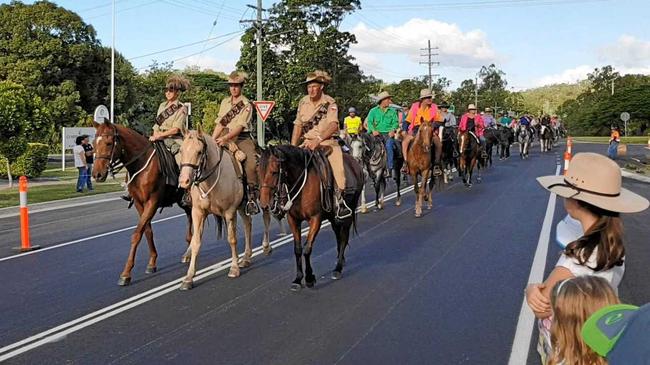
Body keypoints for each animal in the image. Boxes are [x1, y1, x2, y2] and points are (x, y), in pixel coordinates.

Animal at [92, 121, 192, 286]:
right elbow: (147, 231)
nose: (97, 174)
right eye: (93, 144)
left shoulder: (152, 202)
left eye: (108, 143)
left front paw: (126, 273)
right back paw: (189, 251)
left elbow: (137, 234)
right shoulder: (140, 204)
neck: (141, 163)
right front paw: (152, 262)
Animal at [256, 145, 364, 290]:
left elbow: (307, 248)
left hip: (348, 213)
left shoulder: (315, 219)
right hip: (333, 217)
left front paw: (309, 278)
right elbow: (297, 249)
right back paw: (340, 260)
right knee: (338, 235)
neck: (302, 184)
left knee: (343, 237)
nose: (264, 204)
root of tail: (355, 163)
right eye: (259, 172)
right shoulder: (293, 220)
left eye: (273, 171)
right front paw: (298, 279)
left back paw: (338, 268)